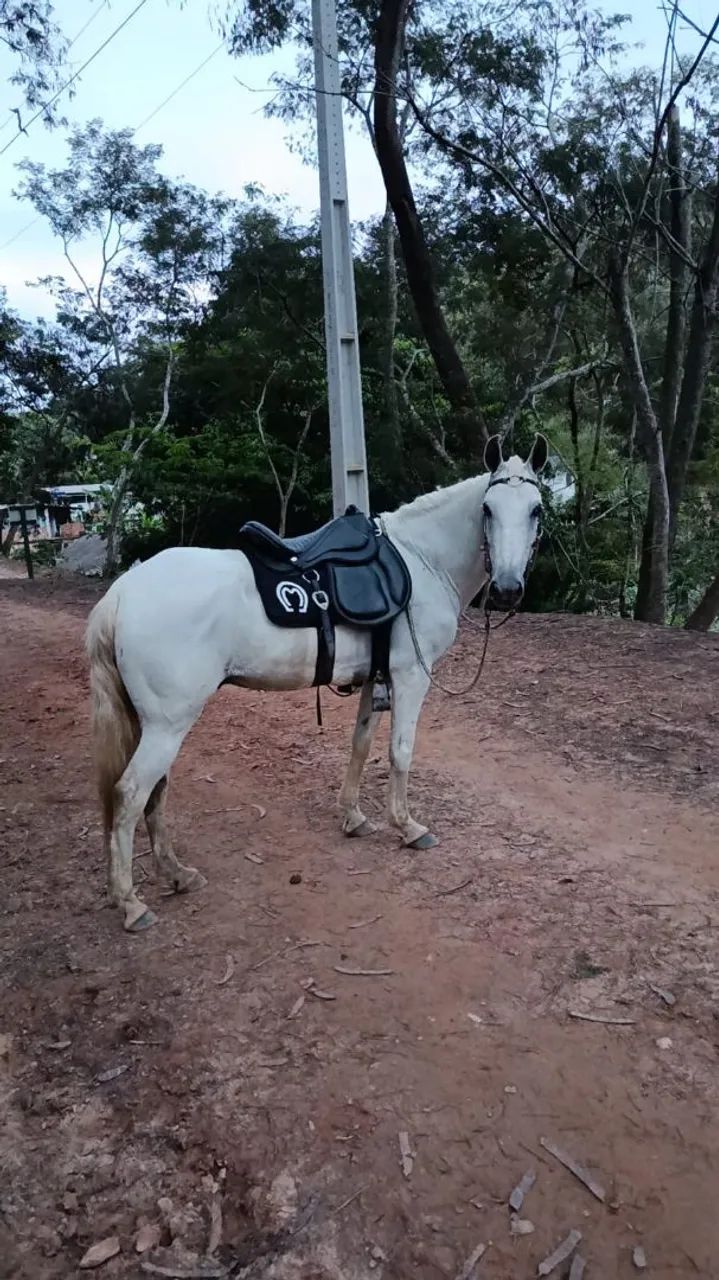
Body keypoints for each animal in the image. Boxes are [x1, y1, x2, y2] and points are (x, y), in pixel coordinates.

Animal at [86, 433, 547, 932]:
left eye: (536, 509)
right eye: (488, 509)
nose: (507, 589)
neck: (422, 561)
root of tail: (122, 592)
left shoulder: (376, 679)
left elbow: (360, 745)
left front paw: (354, 816)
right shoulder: (410, 677)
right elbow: (400, 751)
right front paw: (407, 826)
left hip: (153, 723)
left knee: (156, 792)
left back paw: (177, 874)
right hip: (168, 724)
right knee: (131, 794)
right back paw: (131, 903)